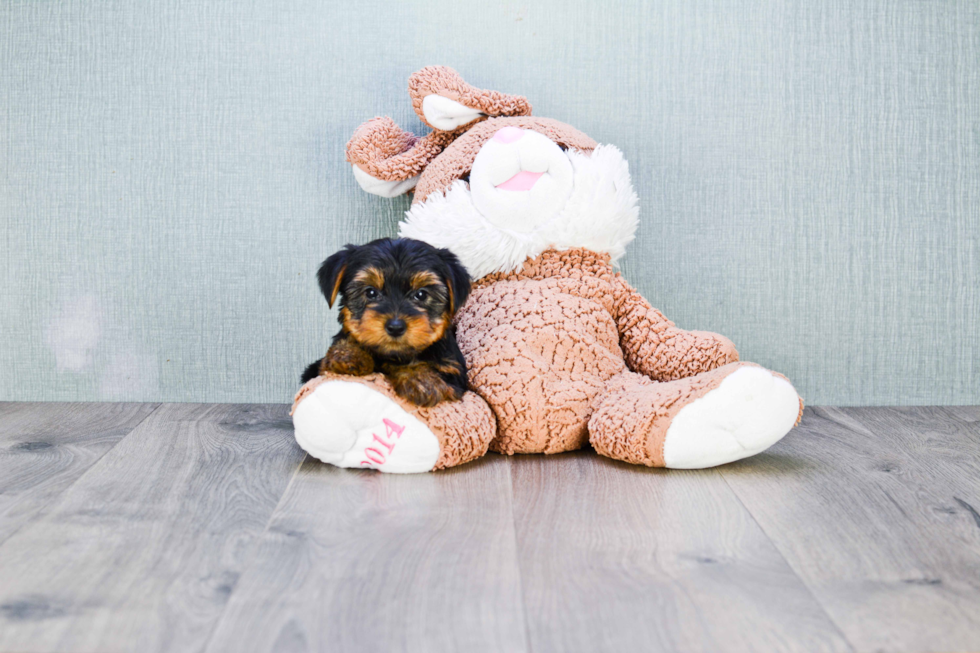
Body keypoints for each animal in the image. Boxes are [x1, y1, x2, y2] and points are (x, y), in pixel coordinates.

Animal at [304, 237, 472, 404]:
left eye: (421, 294)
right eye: (371, 292)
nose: (395, 327)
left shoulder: (453, 373)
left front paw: (420, 379)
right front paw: (348, 353)